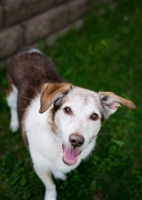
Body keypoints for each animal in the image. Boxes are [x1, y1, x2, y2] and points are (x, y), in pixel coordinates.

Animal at [5, 48, 136, 200]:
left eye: (94, 116)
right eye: (67, 110)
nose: (76, 141)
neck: (55, 142)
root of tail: (27, 50)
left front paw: (59, 174)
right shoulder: (40, 167)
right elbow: (51, 186)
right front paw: (51, 196)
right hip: (11, 94)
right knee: (13, 107)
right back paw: (14, 124)